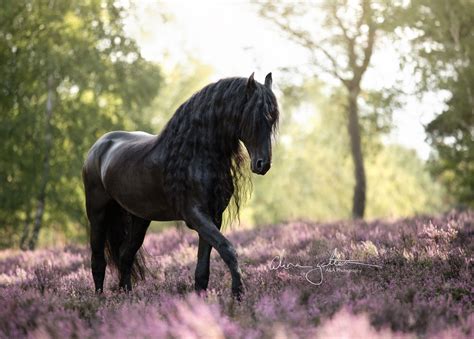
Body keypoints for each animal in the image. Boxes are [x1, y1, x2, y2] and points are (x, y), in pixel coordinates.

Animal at [82, 73, 278, 298]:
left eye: (272, 119)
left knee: (125, 255)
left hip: (140, 218)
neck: (195, 154)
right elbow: (227, 248)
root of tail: (98, 147)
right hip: (98, 214)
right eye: (254, 118)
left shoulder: (213, 216)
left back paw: (128, 297)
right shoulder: (195, 215)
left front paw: (201, 299)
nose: (263, 165)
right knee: (98, 260)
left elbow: (203, 267)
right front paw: (238, 293)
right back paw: (99, 299)